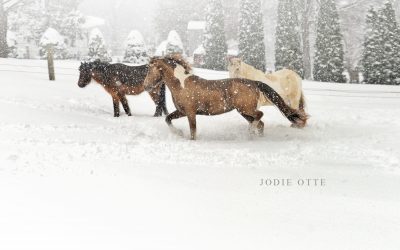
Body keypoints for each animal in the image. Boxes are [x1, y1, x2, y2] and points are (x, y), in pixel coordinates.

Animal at [144, 54, 310, 140]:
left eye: (150, 69)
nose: (145, 86)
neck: (181, 84)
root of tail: (254, 83)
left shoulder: (190, 112)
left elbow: (193, 131)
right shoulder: (182, 111)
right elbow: (168, 119)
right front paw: (178, 133)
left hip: (246, 109)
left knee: (259, 116)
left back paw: (250, 132)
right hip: (244, 112)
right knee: (261, 123)